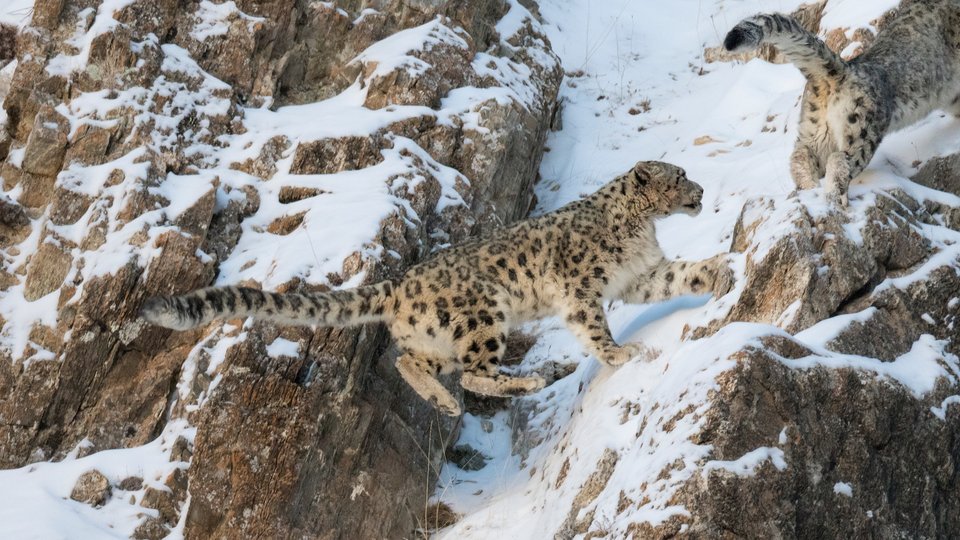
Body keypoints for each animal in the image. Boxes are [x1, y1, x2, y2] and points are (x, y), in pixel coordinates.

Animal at [142, 161, 735, 416]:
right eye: (678, 176)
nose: (703, 190)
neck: (639, 229)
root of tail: (400, 282)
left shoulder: (641, 275)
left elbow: (679, 275)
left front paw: (721, 273)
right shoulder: (579, 288)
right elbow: (593, 328)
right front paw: (623, 354)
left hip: (437, 337)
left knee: (413, 362)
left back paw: (442, 402)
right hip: (483, 316)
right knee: (474, 373)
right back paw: (528, 379)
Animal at [724, 0, 960, 206]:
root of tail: (842, 69)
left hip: (815, 131)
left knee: (800, 156)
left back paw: (808, 188)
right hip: (861, 130)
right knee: (840, 159)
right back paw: (835, 197)